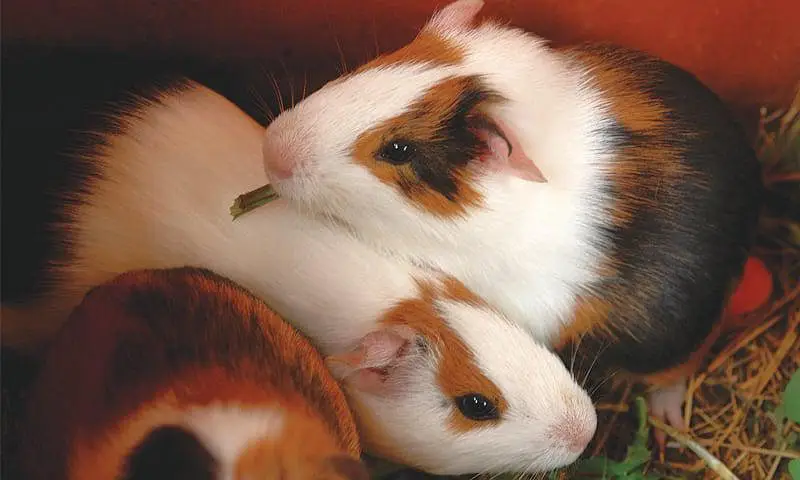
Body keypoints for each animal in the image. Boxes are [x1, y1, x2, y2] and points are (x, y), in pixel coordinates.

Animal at [259, 0, 765, 436]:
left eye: (398, 149)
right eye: (368, 68)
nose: (272, 151)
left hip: (670, 335)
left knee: (679, 368)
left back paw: (667, 420)